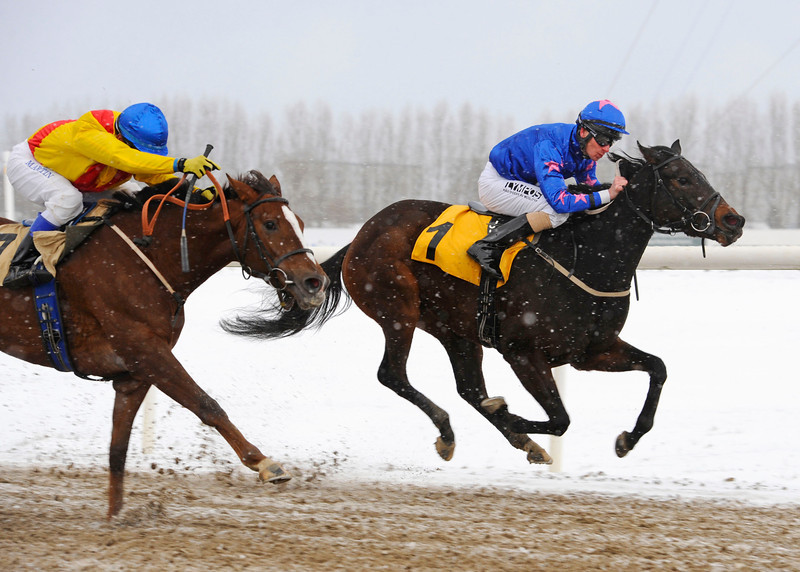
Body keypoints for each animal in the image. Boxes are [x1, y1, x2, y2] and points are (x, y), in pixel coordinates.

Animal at [0, 170, 330, 520]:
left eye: (300, 223)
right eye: (269, 223)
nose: (315, 282)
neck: (147, 259)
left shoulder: (135, 373)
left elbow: (118, 449)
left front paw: (115, 517)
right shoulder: (147, 353)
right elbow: (207, 405)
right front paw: (266, 464)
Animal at [223, 140, 744, 470]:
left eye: (698, 173)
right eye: (680, 177)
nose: (733, 221)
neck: (587, 255)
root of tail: (362, 233)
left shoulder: (591, 351)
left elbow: (657, 368)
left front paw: (626, 439)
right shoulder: (523, 351)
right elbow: (560, 418)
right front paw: (516, 418)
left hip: (457, 329)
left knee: (470, 389)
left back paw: (517, 441)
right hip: (399, 311)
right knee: (394, 375)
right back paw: (454, 435)